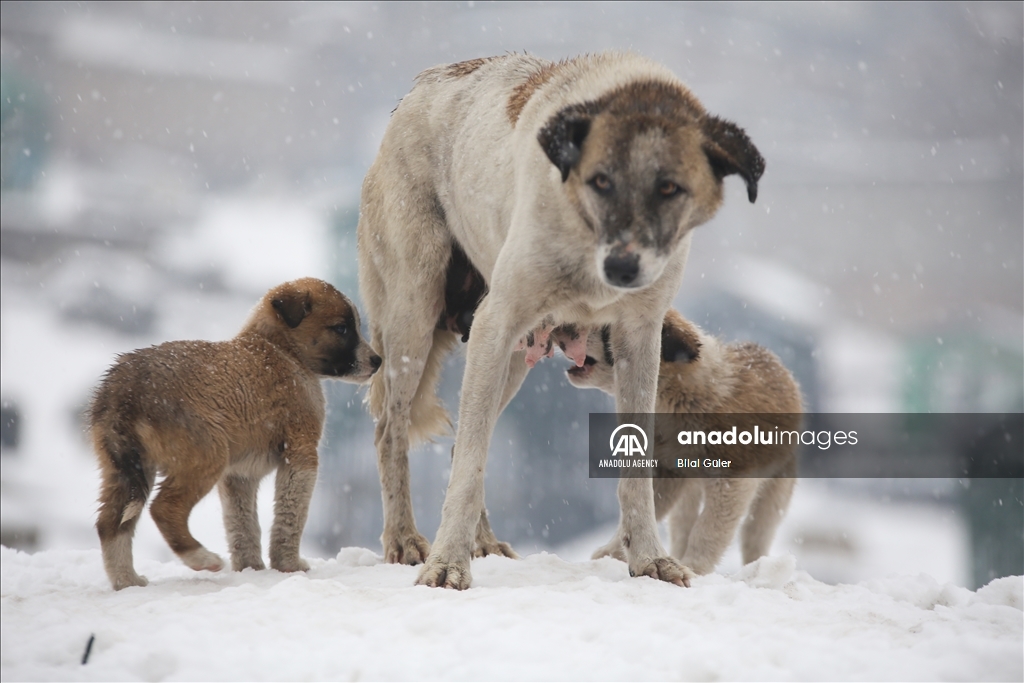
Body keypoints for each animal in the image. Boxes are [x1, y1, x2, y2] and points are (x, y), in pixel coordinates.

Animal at [91, 280, 380, 589]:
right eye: (341, 328)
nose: (378, 361)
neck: (282, 351)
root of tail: (125, 393)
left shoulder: (239, 474)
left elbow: (242, 523)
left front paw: (251, 568)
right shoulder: (301, 453)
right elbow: (290, 516)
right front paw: (288, 565)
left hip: (124, 468)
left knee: (110, 524)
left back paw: (127, 581)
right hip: (206, 454)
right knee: (164, 508)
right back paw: (201, 558)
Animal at [356, 52, 765, 589]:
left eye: (669, 188)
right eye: (600, 181)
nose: (622, 268)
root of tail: (419, 88)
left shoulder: (640, 336)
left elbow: (636, 473)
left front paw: (649, 561)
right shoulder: (498, 319)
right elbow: (466, 470)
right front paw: (446, 565)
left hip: (509, 358)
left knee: (468, 439)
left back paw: (484, 543)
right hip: (416, 318)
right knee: (394, 431)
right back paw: (405, 540)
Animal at [569, 309, 798, 577]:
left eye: (606, 328)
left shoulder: (734, 480)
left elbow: (708, 529)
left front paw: (694, 567)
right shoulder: (668, 472)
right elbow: (648, 508)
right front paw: (611, 554)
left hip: (777, 488)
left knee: (757, 533)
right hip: (688, 491)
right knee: (683, 525)